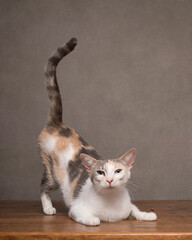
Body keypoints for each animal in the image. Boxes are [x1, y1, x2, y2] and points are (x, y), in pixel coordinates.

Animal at [38, 37, 157, 225]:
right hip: (52, 172)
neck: (111, 201)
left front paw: (146, 215)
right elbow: (87, 216)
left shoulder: (128, 206)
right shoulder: (76, 209)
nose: (109, 180)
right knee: (43, 187)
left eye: (118, 171)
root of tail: (59, 124)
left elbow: (134, 210)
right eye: (100, 172)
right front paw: (94, 219)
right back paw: (48, 208)